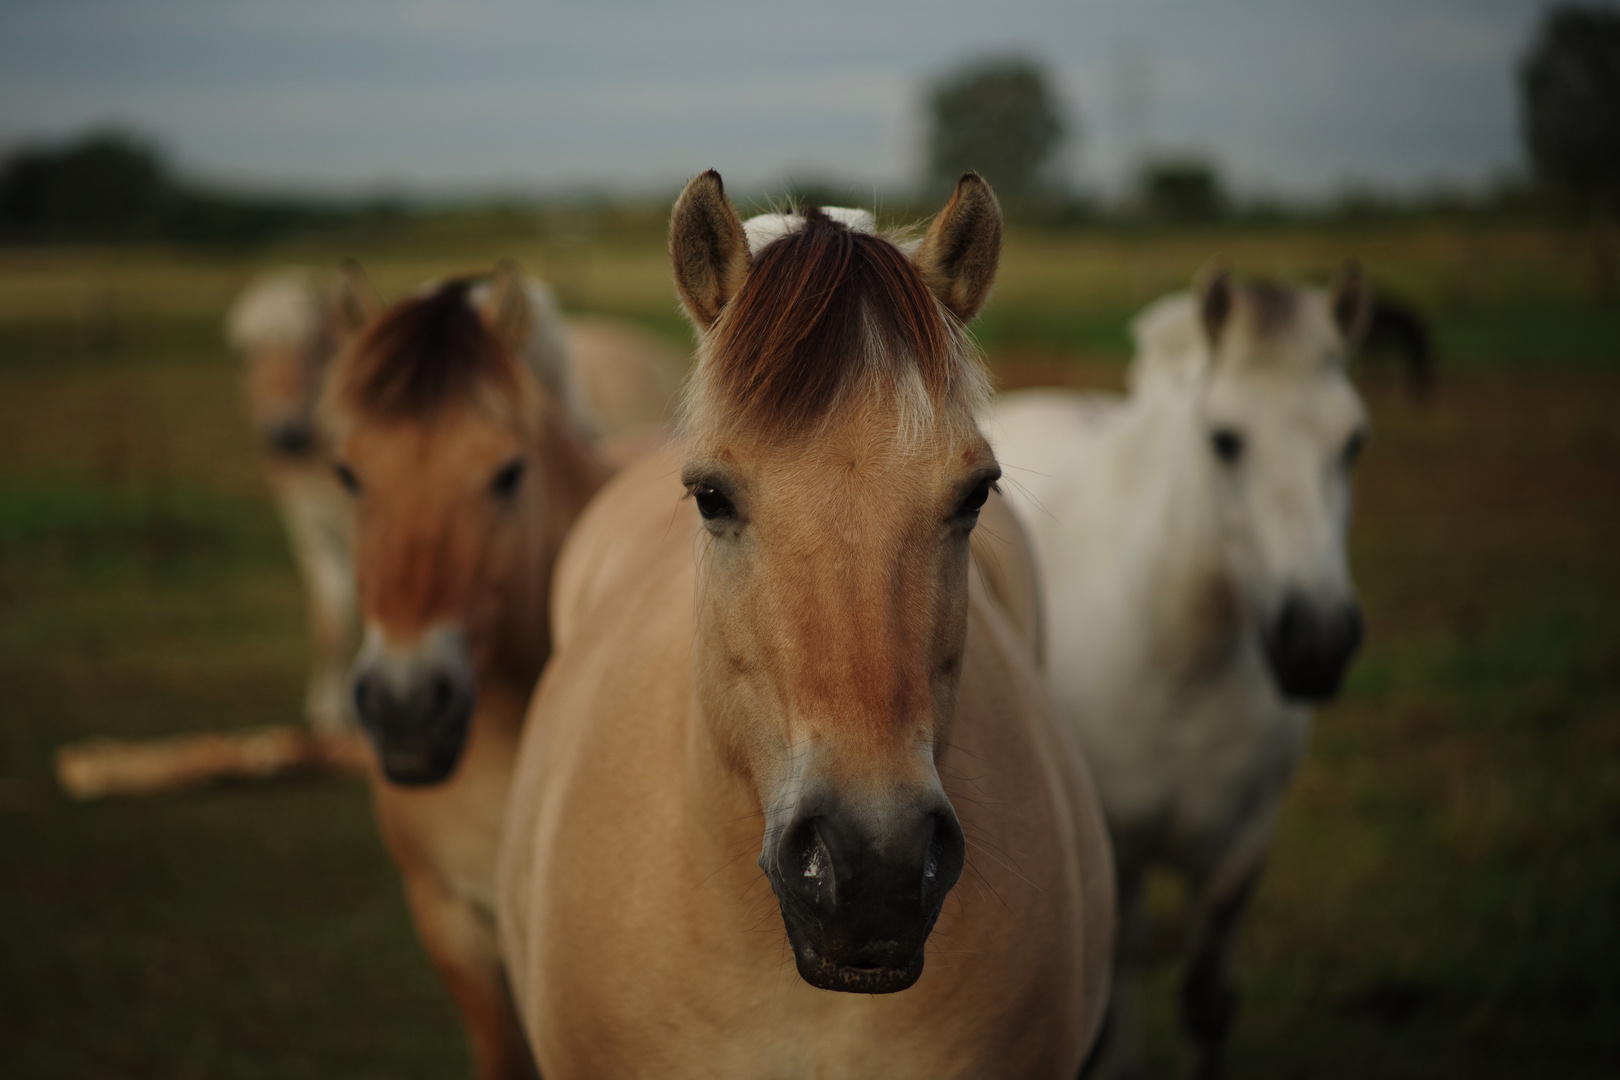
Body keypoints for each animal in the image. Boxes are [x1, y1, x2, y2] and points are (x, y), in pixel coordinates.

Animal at [228, 262, 379, 735]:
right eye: (245, 353)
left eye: (318, 347)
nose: (285, 436)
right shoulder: (311, 532)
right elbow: (330, 626)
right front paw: (328, 713)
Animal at [984, 263, 1367, 1080]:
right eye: (1225, 440)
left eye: (1353, 440)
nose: (1317, 638)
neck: (1183, 664)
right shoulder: (1117, 845)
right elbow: (1118, 1010)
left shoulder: (1242, 848)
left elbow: (1206, 1000)